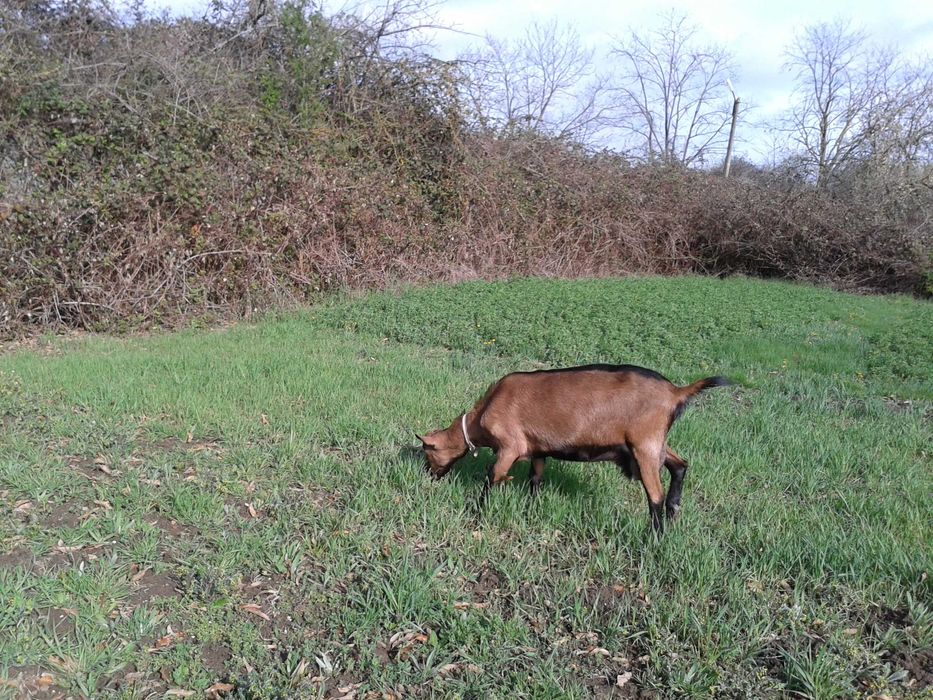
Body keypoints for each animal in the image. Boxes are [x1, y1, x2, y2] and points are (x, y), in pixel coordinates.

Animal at [417, 364, 729, 531]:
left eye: (428, 452)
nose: (429, 476)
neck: (482, 415)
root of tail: (676, 392)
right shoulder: (538, 449)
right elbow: (535, 478)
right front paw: (531, 508)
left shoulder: (509, 446)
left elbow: (491, 477)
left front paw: (477, 512)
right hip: (657, 444)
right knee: (680, 465)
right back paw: (674, 510)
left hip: (645, 445)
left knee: (655, 495)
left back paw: (655, 535)